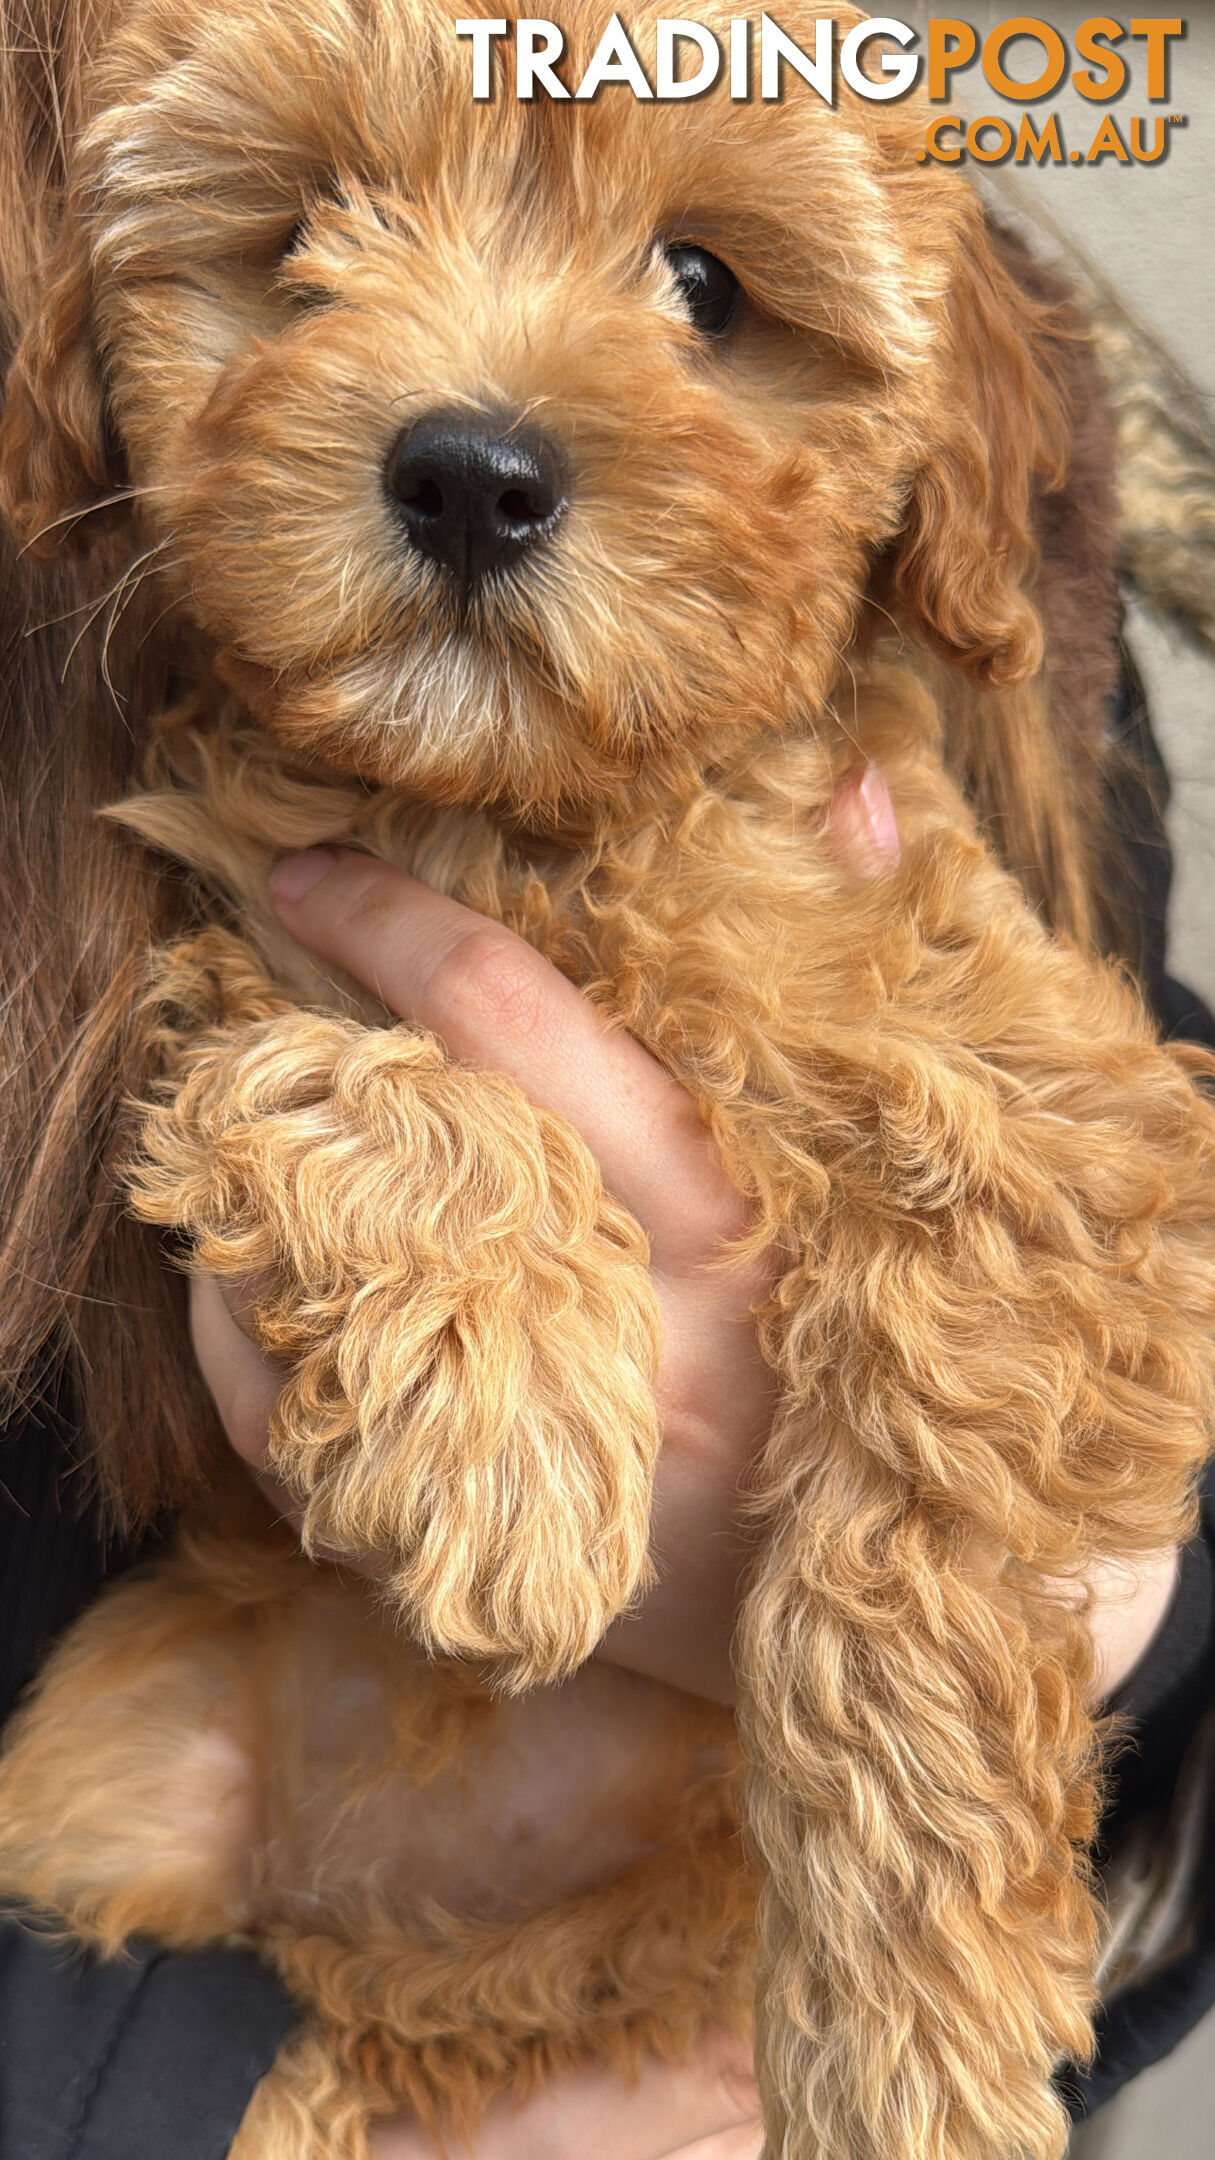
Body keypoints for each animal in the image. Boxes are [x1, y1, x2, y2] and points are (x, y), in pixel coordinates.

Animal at [2, 4, 1210, 2160]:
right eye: (307, 232)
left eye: (707, 286)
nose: (471, 477)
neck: (548, 822)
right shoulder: (229, 936)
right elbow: (337, 1072)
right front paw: (503, 1422)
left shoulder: (1066, 1123)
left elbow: (923, 1511)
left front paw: (907, 2041)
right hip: (110, 1770)